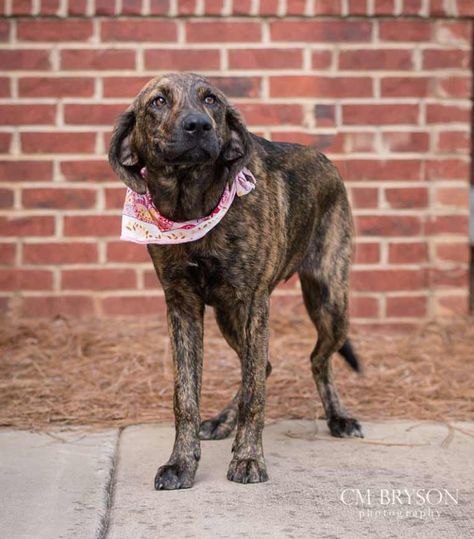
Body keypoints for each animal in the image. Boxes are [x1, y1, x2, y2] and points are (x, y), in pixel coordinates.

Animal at [108, 74, 362, 492]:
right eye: (158, 101)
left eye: (211, 100)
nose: (198, 125)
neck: (192, 204)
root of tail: (325, 160)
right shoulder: (181, 305)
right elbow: (186, 396)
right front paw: (181, 463)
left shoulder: (255, 303)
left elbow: (255, 394)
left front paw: (248, 458)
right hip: (229, 316)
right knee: (265, 365)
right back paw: (223, 421)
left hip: (330, 301)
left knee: (315, 360)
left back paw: (339, 417)